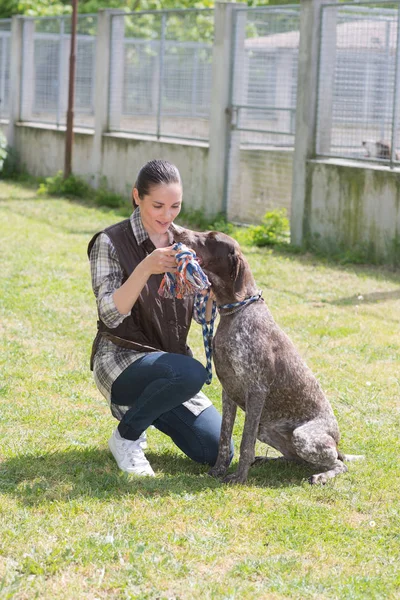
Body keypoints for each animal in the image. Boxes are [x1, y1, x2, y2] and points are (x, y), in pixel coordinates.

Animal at [173, 227, 364, 486]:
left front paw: (239, 477)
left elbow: (245, 442)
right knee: (295, 459)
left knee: (338, 464)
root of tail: (336, 443)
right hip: (267, 429)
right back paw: (267, 460)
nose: (176, 229)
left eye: (211, 238)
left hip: (304, 436)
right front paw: (218, 470)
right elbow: (224, 437)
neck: (236, 312)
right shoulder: (228, 392)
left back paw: (322, 476)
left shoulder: (256, 390)